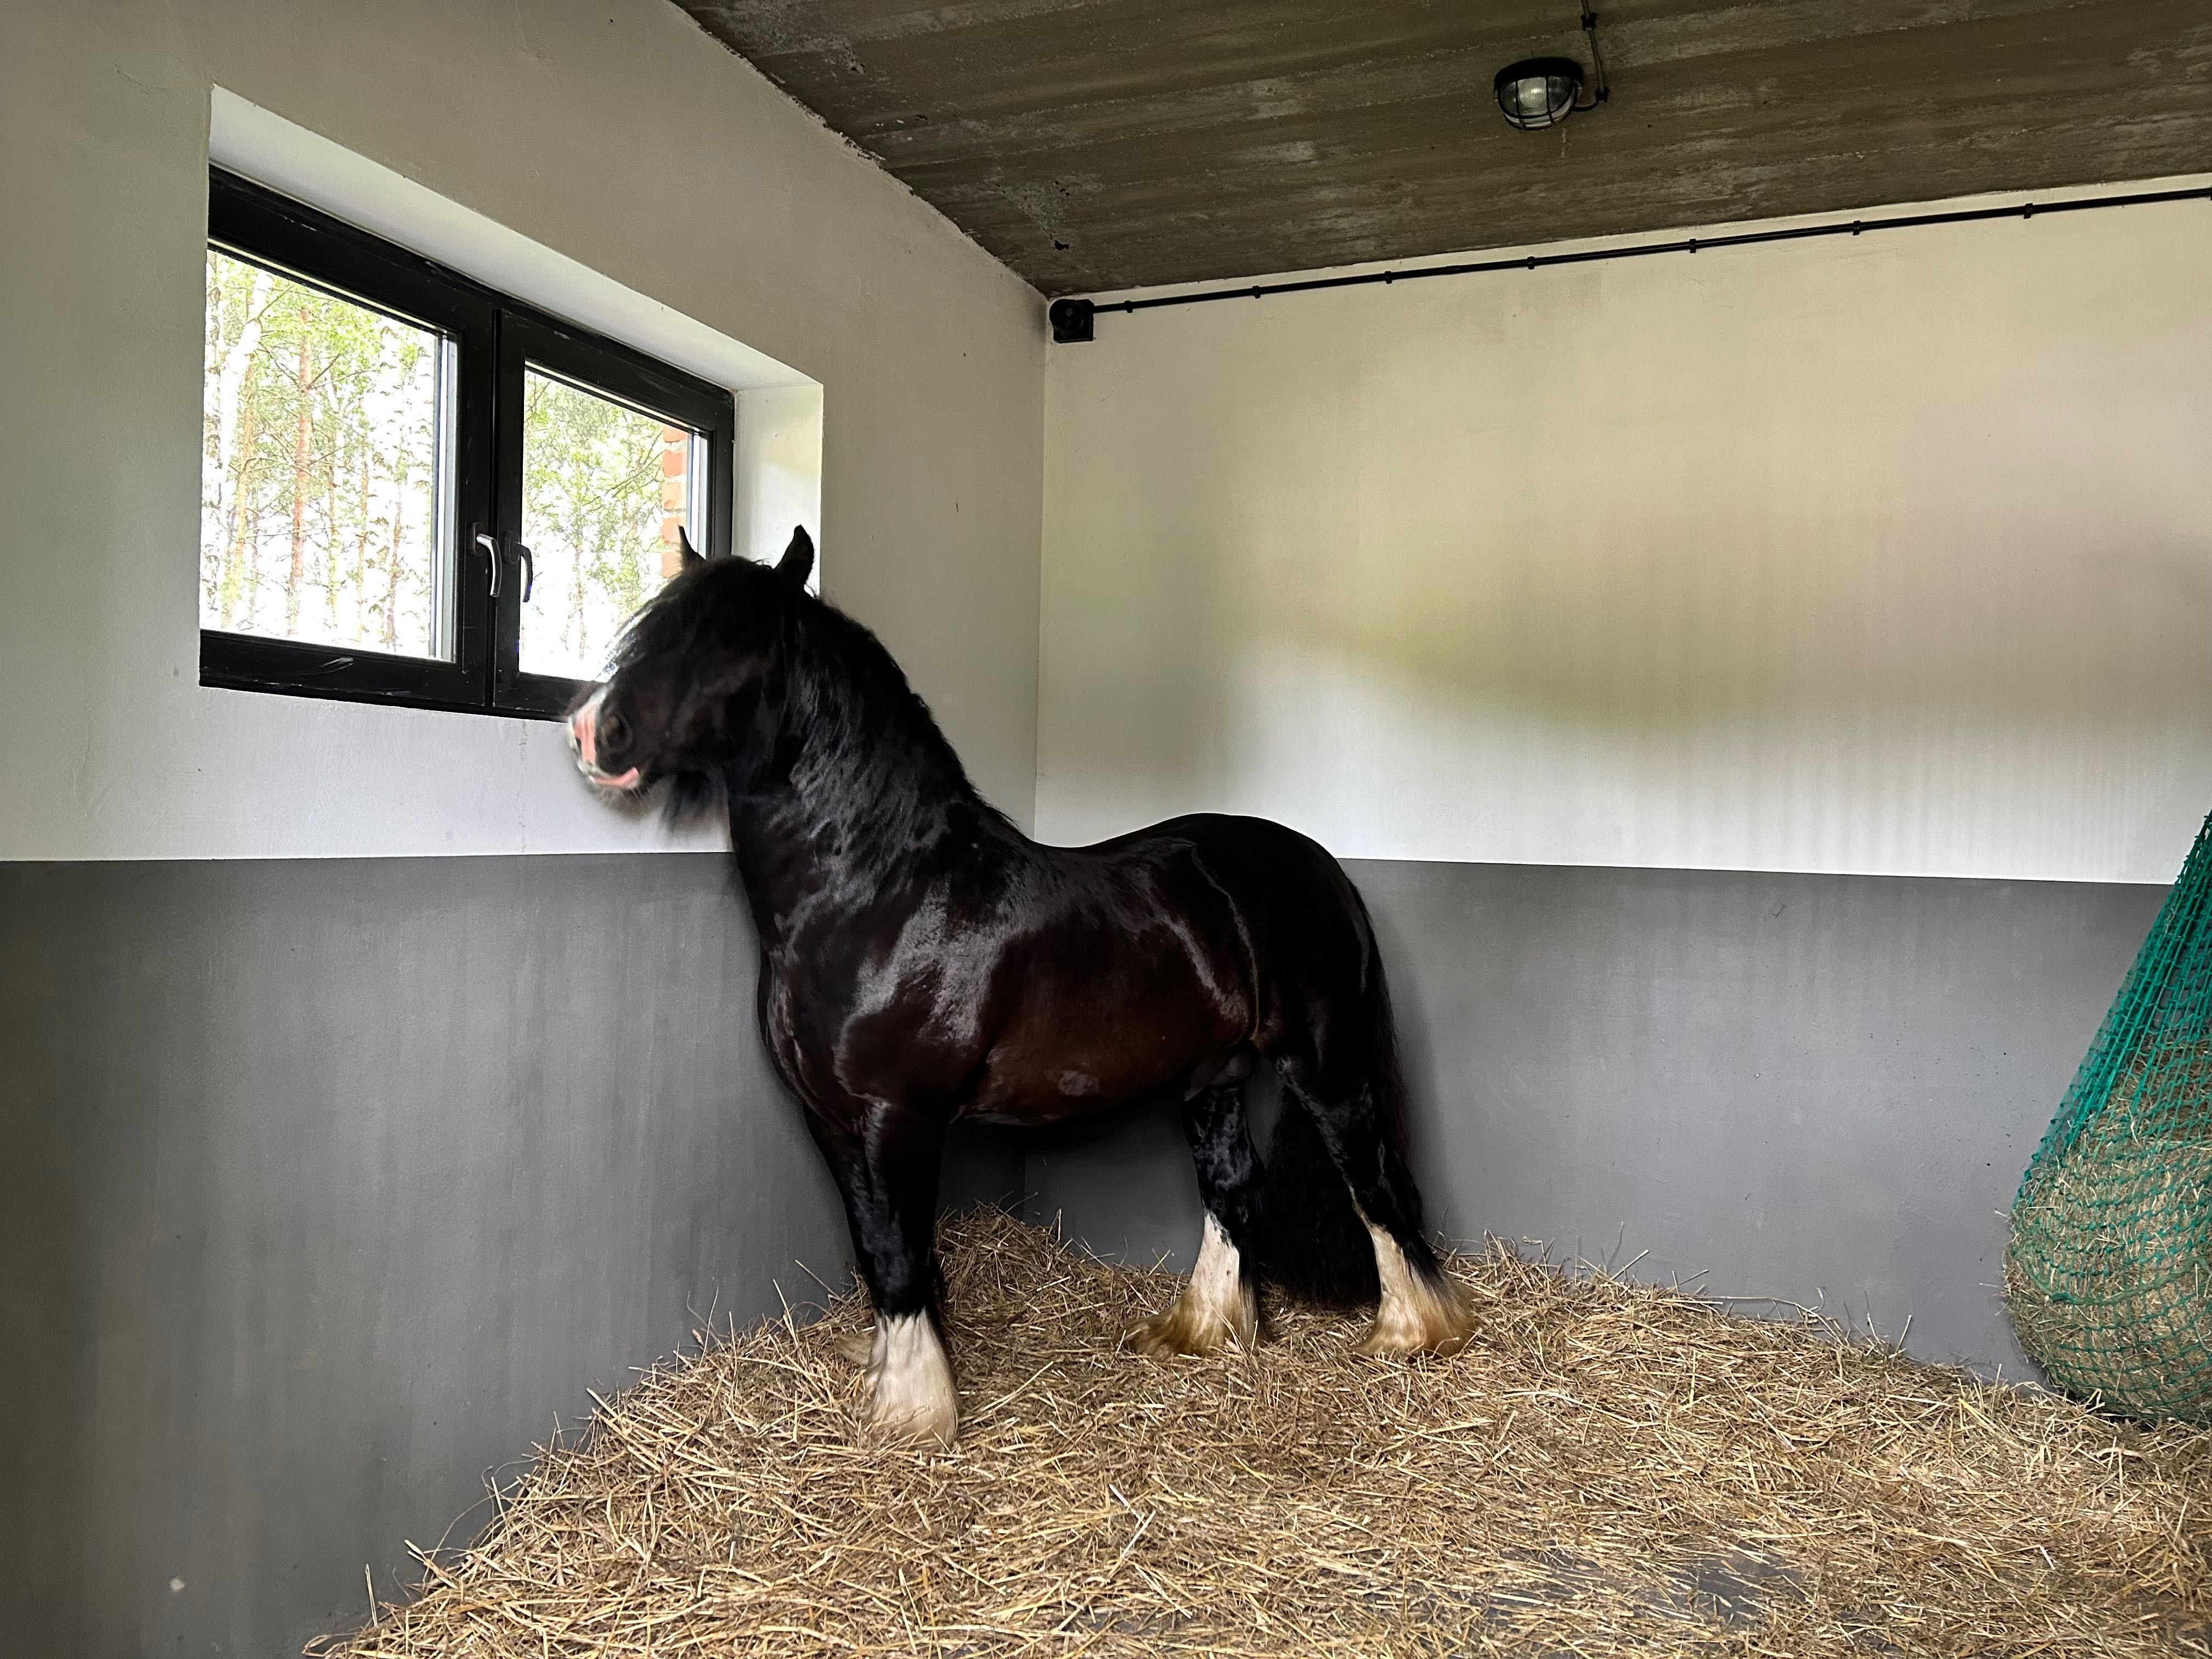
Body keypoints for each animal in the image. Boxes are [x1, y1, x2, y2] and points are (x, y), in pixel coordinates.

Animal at [566, 528, 1469, 1442]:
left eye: (732, 643)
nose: (595, 730)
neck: (883, 893)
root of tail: (1320, 866)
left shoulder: (900, 1118)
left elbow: (902, 1252)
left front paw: (914, 1412)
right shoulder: (828, 1120)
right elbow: (873, 1249)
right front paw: (891, 1386)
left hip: (1325, 1067)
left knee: (1375, 1186)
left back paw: (1413, 1335)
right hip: (1211, 1077)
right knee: (1234, 1190)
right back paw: (1201, 1331)